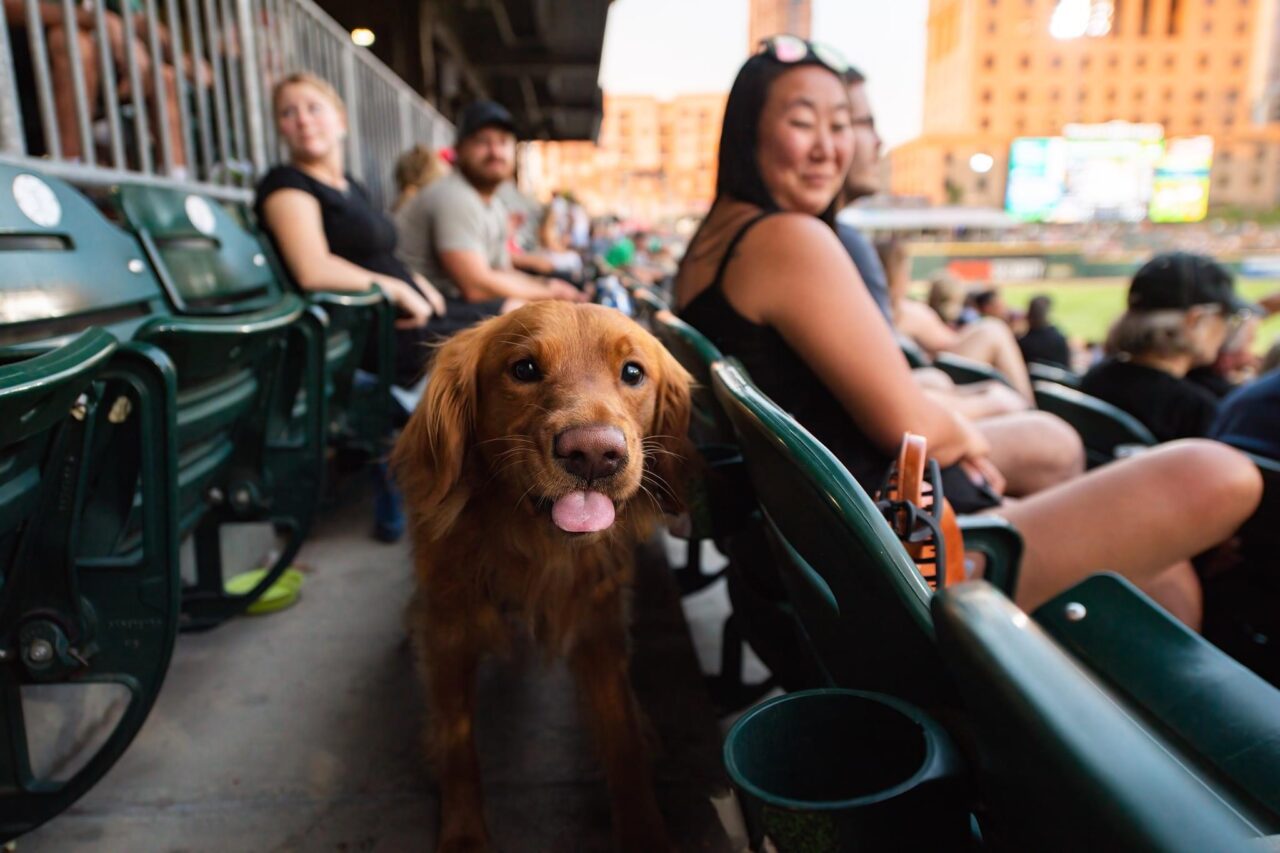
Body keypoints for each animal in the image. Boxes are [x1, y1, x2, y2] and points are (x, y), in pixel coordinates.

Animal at [391, 300, 691, 850]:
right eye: (524, 368)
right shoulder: (449, 631)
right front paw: (464, 836)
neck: (532, 545)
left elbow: (622, 735)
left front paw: (644, 830)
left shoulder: (597, 623)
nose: (593, 453)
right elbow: (456, 739)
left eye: (632, 372)